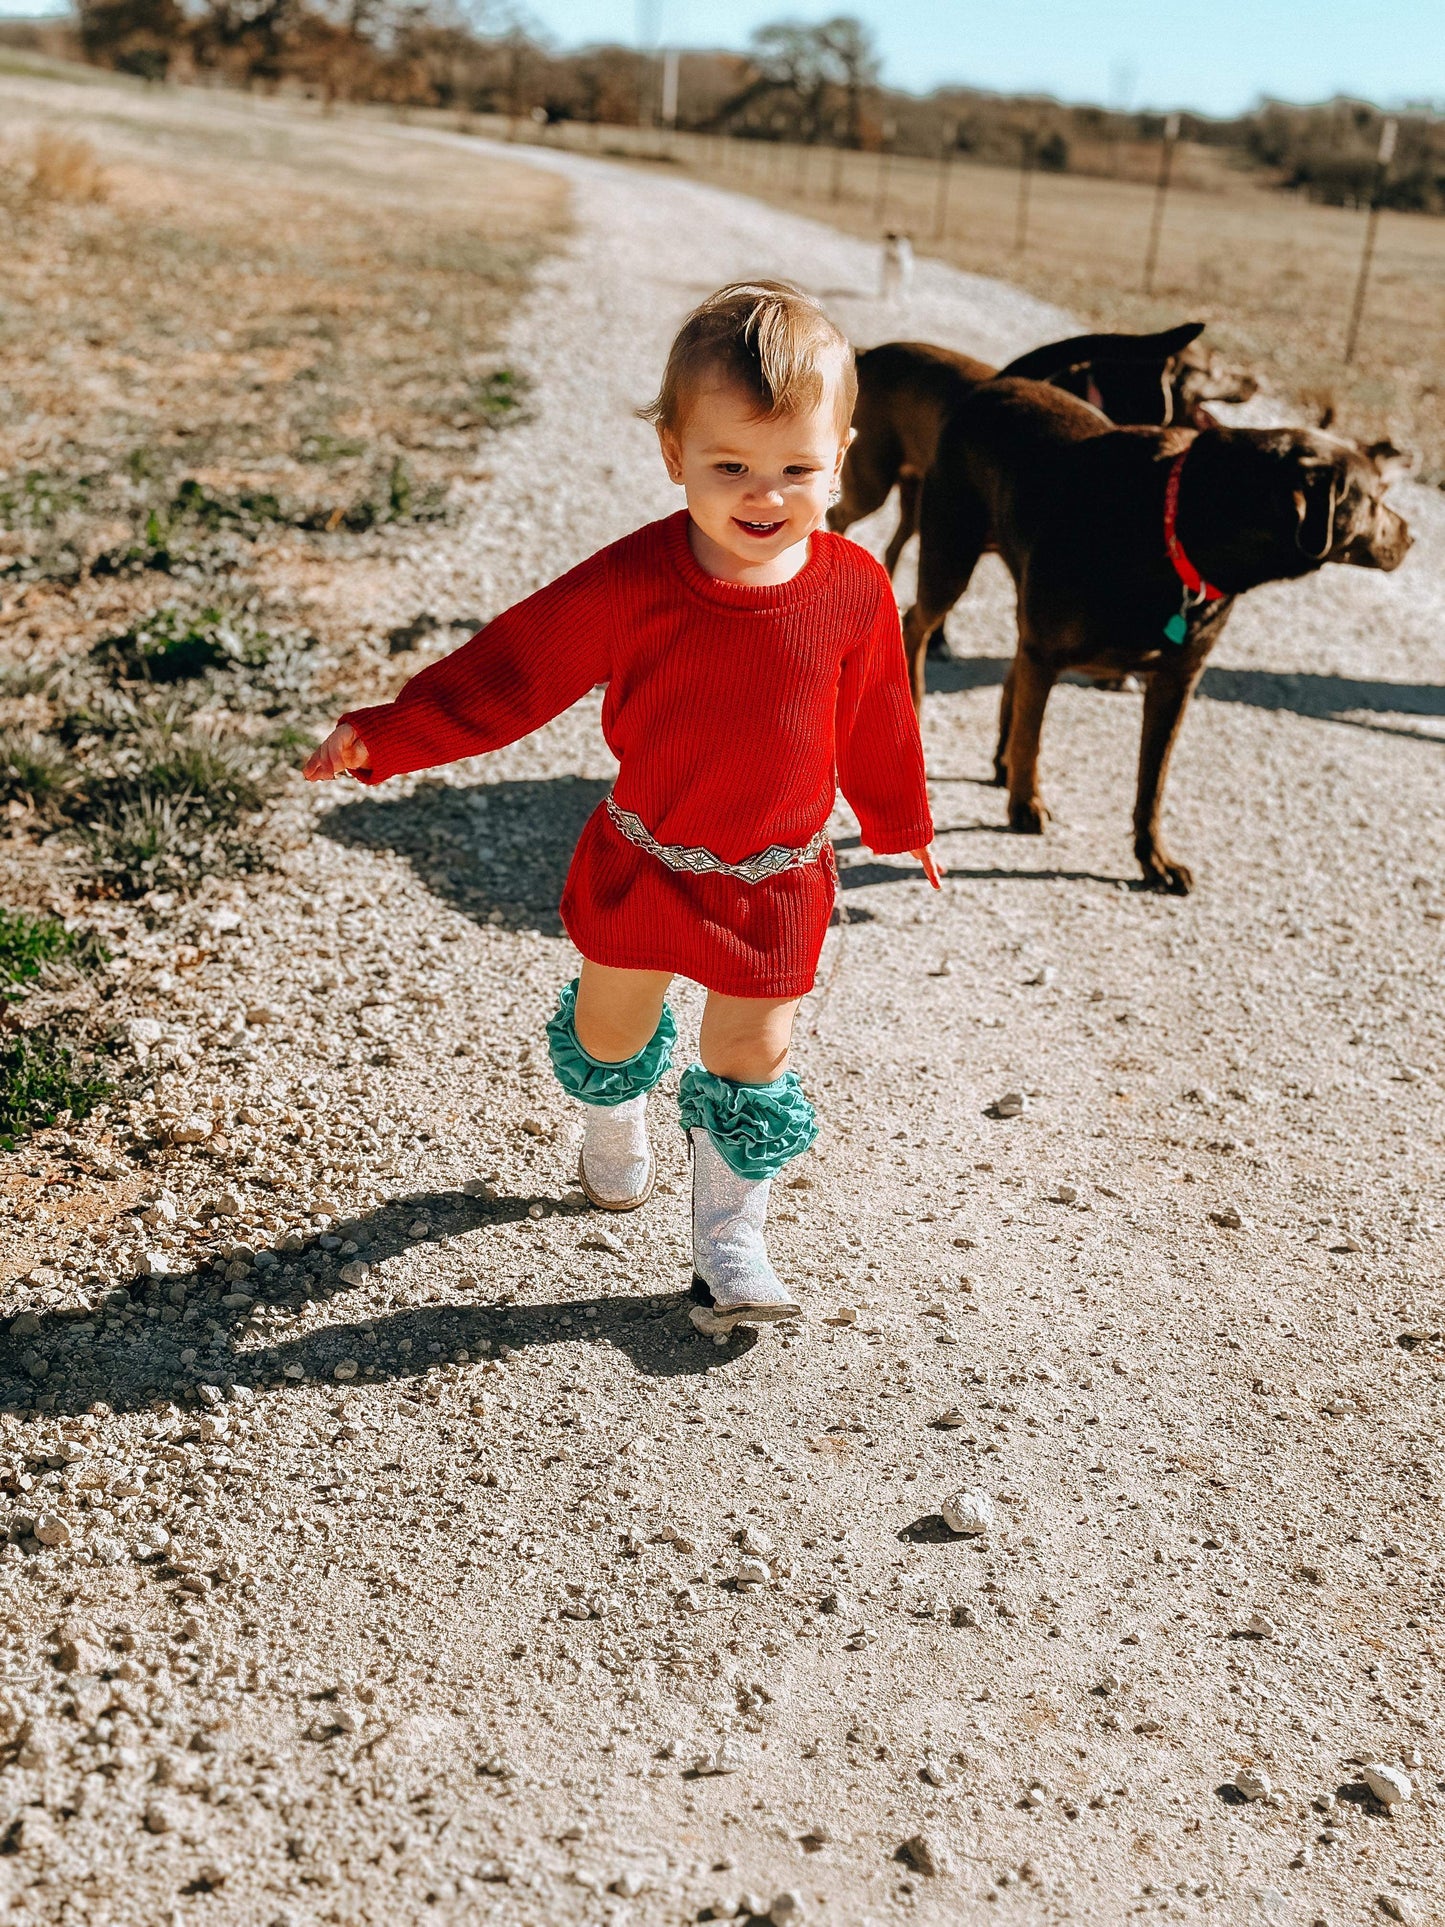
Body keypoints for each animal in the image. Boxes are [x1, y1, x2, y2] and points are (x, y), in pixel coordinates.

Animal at [832, 323, 1248, 574]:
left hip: (913, 491)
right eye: (1215, 370)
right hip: (874, 482)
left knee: (895, 545)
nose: (1255, 382)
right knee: (843, 517)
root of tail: (867, 354)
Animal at [905, 385, 1418, 901]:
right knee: (917, 622)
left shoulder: (1176, 680)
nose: (1412, 536)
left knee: (1012, 668)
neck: (1186, 530)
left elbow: (1152, 785)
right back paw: (920, 703)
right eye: (1376, 498)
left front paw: (1154, 859)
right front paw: (1026, 804)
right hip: (951, 557)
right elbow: (1034, 739)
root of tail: (992, 387)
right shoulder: (1047, 652)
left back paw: (1001, 760)